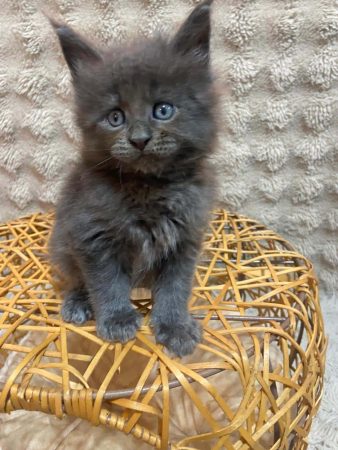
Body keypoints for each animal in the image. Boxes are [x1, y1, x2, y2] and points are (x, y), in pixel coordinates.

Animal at [49, 0, 218, 358]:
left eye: (163, 110)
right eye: (115, 117)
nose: (139, 139)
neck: (148, 187)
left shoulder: (185, 237)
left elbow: (175, 287)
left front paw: (174, 326)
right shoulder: (90, 234)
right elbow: (106, 281)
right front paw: (116, 319)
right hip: (62, 244)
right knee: (76, 278)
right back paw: (77, 302)